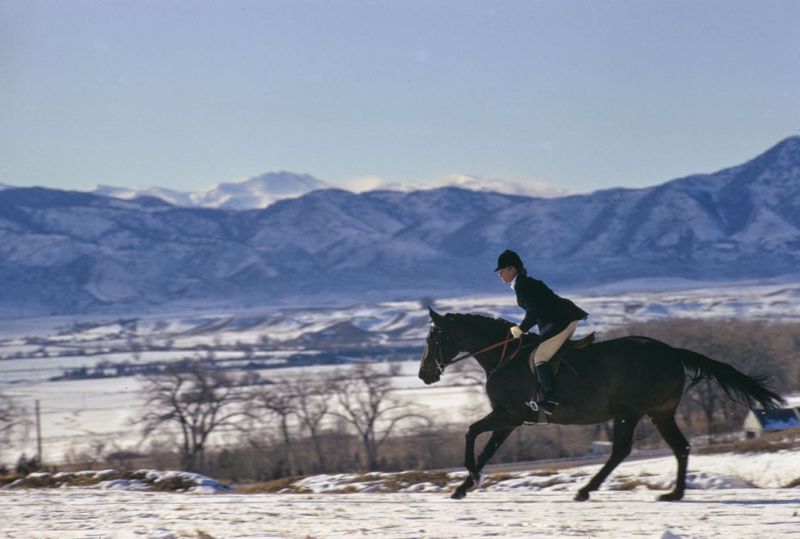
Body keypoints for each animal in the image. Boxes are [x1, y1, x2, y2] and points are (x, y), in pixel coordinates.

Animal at [418, 308, 784, 501]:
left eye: (433, 338)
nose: (424, 375)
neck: (504, 357)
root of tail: (671, 352)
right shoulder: (510, 420)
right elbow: (487, 449)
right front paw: (465, 485)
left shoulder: (509, 414)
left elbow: (471, 434)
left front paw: (468, 479)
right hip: (660, 413)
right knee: (680, 447)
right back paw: (673, 494)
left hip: (629, 412)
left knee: (621, 450)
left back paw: (585, 489)